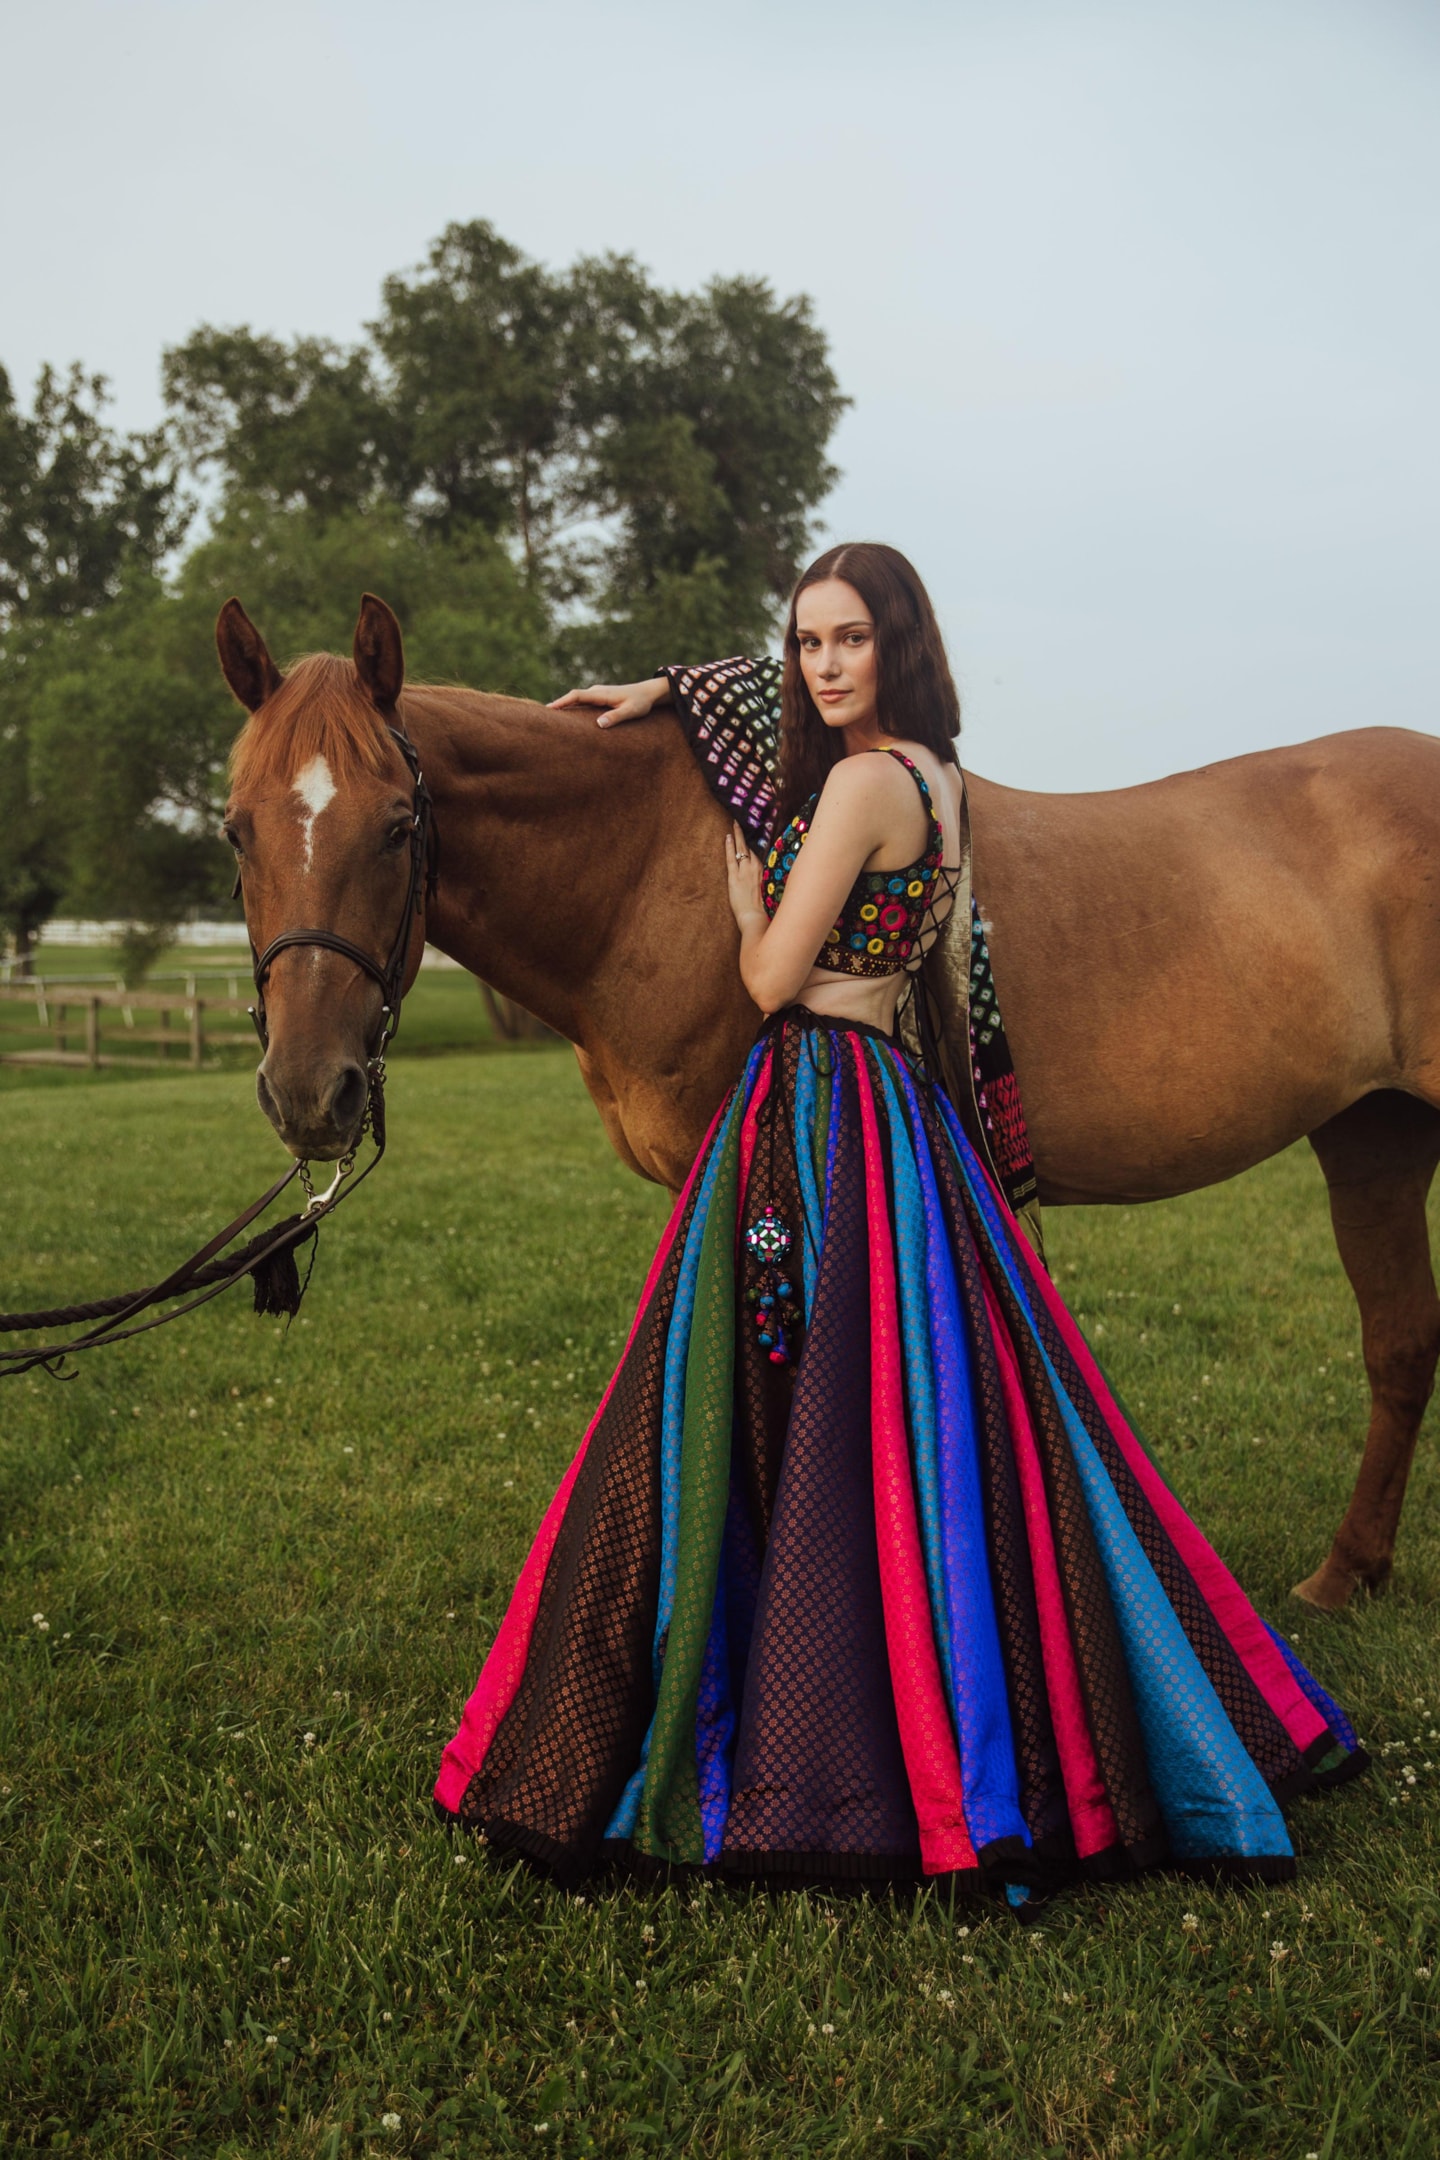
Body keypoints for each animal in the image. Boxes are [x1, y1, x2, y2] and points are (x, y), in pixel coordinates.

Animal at [216, 600, 1440, 1615]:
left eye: (397, 825)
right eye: (236, 829)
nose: (309, 1090)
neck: (647, 867)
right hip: (1374, 1135)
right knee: (1400, 1343)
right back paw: (1346, 1574)